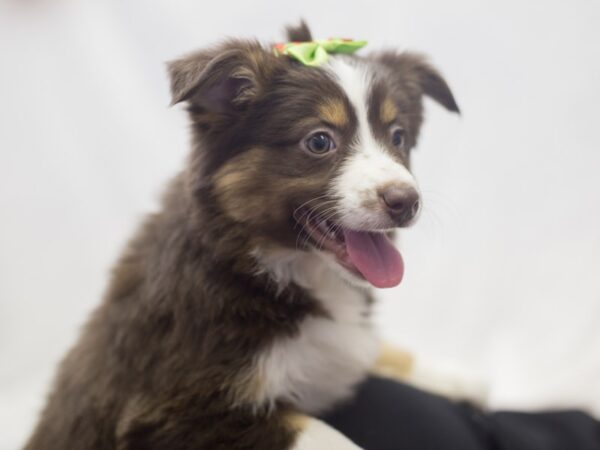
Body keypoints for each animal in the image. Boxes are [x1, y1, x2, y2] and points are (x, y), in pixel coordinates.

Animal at [24, 22, 488, 450]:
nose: (406, 201)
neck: (266, 265)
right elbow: (322, 434)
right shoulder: (174, 411)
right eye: (320, 141)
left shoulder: (335, 346)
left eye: (398, 136)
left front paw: (458, 377)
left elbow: (370, 347)